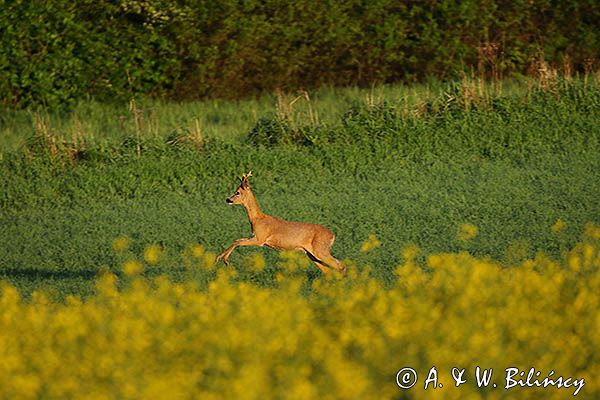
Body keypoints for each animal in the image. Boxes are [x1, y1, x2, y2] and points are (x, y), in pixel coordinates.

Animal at [216, 170, 346, 276]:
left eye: (237, 192)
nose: (228, 199)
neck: (257, 219)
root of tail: (332, 235)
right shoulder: (256, 237)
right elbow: (237, 240)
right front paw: (220, 258)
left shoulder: (260, 238)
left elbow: (238, 242)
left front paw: (224, 260)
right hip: (312, 254)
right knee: (328, 271)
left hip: (321, 250)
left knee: (340, 266)